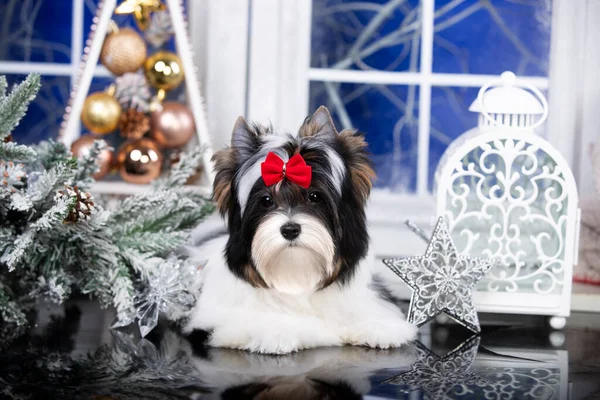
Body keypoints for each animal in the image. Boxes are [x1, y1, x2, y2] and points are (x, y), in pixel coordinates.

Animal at [183, 105, 418, 354]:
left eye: (314, 196)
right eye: (266, 200)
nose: (290, 229)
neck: (296, 273)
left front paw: (376, 327)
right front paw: (286, 331)